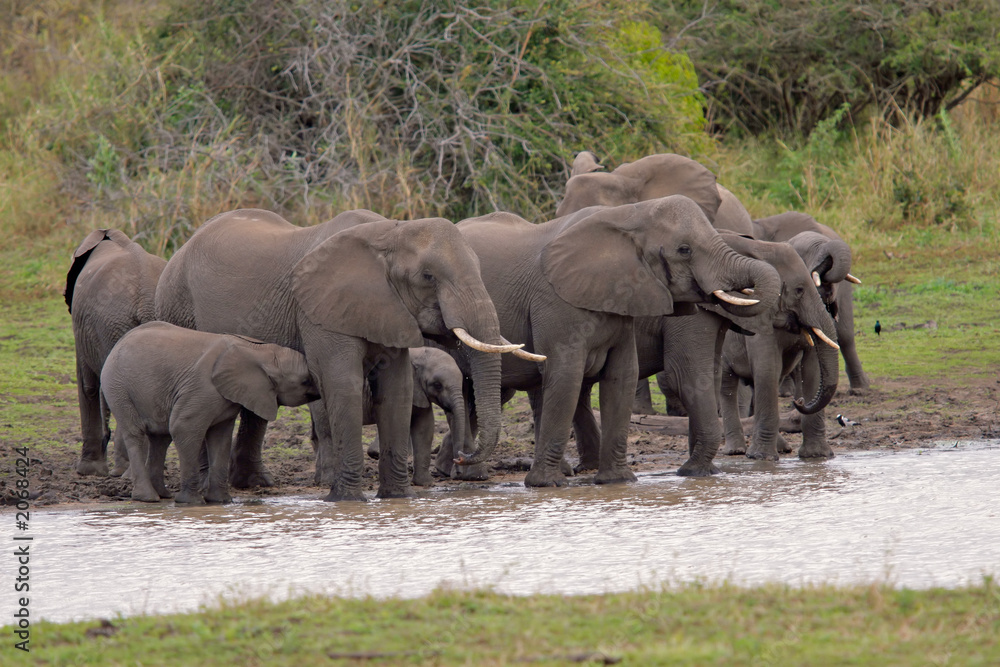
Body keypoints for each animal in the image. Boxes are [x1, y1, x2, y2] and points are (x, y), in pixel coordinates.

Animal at [101, 322, 319, 503]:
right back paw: (148, 498)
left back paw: (163, 495)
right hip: (119, 388)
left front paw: (221, 501)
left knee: (160, 439)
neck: (261, 351)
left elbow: (221, 439)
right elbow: (183, 428)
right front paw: (192, 503)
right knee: (136, 435)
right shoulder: (203, 389)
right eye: (305, 381)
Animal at [452, 195, 782, 488]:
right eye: (684, 249)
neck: (629, 214)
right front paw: (546, 485)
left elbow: (621, 376)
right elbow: (566, 377)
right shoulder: (554, 302)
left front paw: (618, 482)